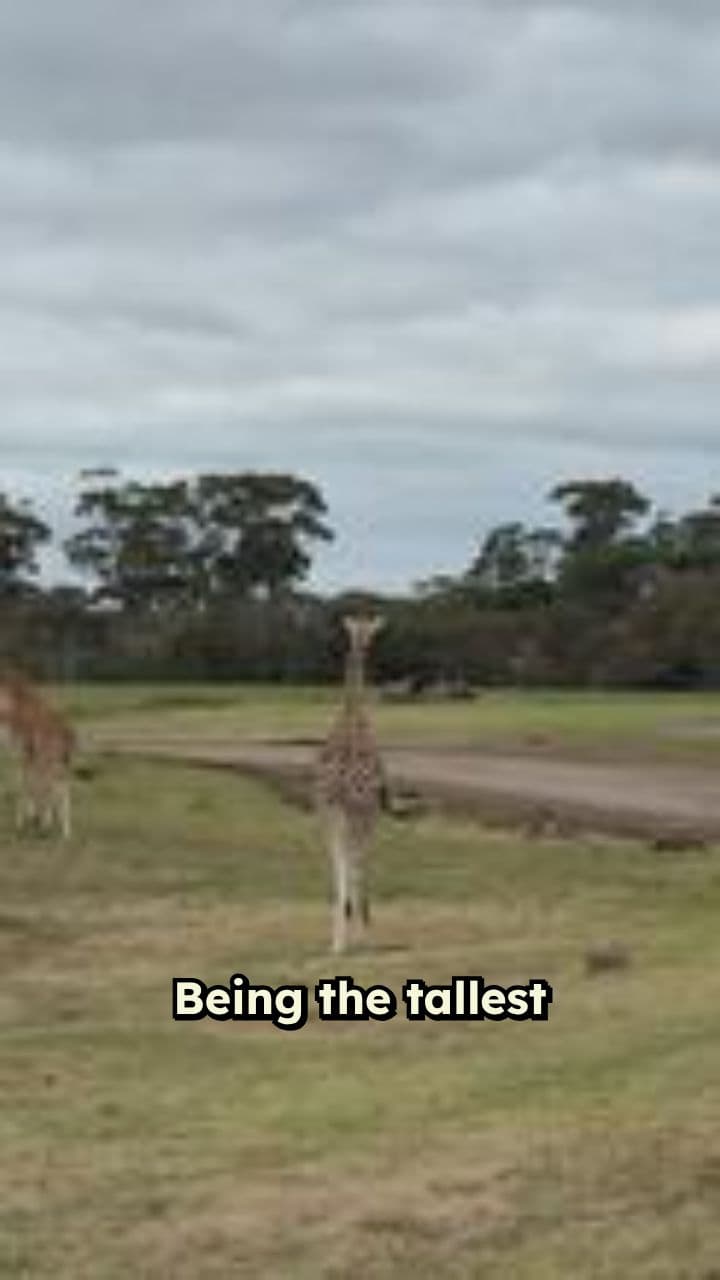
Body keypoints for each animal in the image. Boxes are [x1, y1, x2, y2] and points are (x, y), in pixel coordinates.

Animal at [0, 671, 76, 839]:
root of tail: (67, 735)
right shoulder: (31, 753)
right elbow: (30, 782)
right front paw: (33, 819)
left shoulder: (26, 752)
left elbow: (27, 783)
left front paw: (27, 821)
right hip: (62, 760)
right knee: (60, 785)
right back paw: (64, 830)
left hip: (50, 758)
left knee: (50, 784)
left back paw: (48, 825)